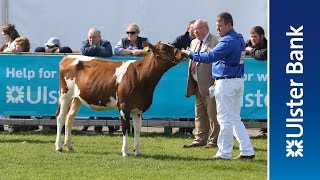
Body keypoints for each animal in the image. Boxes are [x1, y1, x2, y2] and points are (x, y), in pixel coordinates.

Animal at [55, 41, 188, 157]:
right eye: (164, 48)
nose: (184, 53)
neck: (141, 76)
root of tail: (68, 57)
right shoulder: (124, 107)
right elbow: (126, 128)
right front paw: (125, 152)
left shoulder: (138, 108)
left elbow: (137, 129)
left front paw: (137, 151)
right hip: (65, 95)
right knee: (60, 117)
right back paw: (59, 146)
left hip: (77, 99)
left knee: (69, 118)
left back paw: (69, 146)